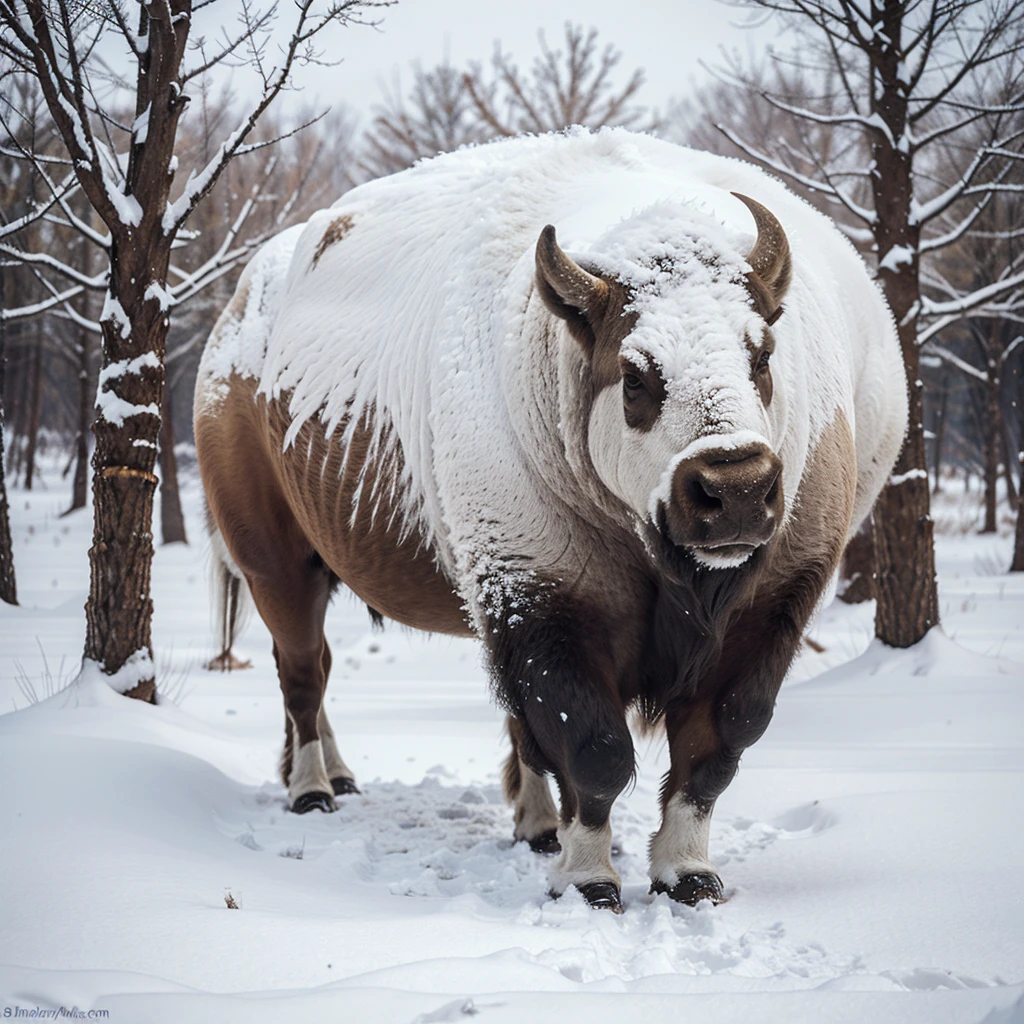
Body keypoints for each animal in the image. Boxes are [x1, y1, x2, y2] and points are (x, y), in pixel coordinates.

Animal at [195, 125, 909, 913]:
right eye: (635, 373)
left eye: (763, 353)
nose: (737, 488)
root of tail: (239, 313)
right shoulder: (539, 597)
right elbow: (593, 748)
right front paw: (590, 878)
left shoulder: (772, 605)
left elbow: (713, 748)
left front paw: (686, 873)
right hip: (277, 563)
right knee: (302, 674)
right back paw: (314, 788)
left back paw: (482, 812)